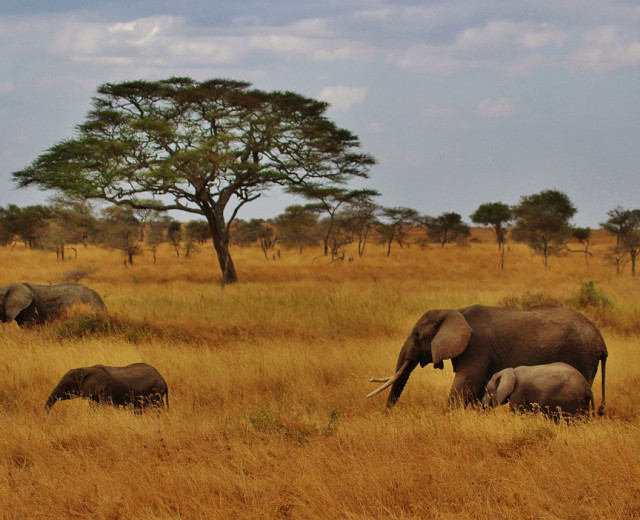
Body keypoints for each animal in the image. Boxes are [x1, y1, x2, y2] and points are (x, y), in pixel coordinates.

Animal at [368, 304, 608, 414]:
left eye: (417, 336)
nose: (387, 414)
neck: (454, 312)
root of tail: (601, 341)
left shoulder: (476, 347)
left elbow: (465, 385)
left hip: (581, 354)